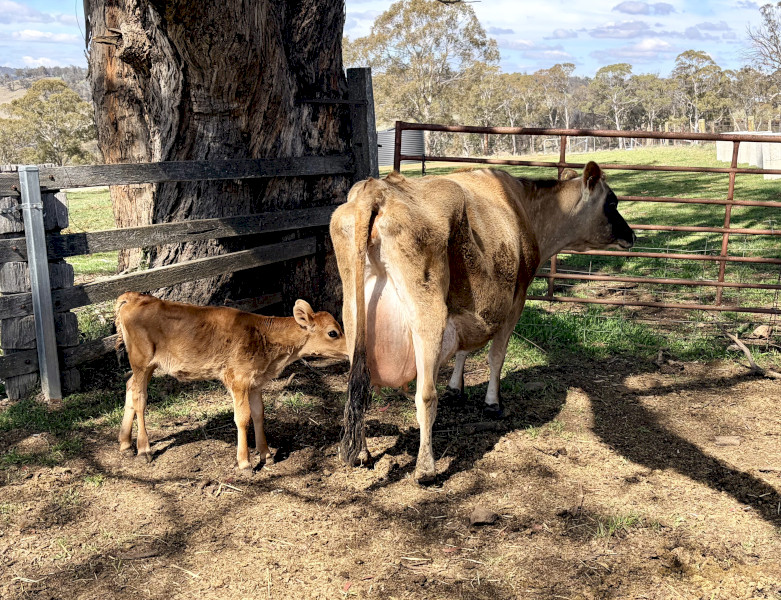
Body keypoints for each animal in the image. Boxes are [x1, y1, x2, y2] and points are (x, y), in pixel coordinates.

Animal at [114, 292, 348, 472]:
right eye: (333, 333)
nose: (349, 350)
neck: (264, 337)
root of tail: (135, 297)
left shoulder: (255, 383)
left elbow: (259, 414)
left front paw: (266, 454)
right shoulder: (238, 380)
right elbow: (242, 418)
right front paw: (245, 463)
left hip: (149, 366)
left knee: (129, 387)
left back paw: (125, 443)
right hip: (141, 361)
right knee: (140, 398)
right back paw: (144, 449)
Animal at [330, 162, 635, 483]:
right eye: (612, 202)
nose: (632, 235)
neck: (525, 209)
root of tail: (378, 189)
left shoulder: (469, 306)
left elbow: (464, 349)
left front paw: (456, 387)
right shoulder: (516, 300)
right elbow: (496, 356)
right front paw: (492, 403)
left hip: (353, 313)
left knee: (357, 387)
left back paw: (361, 452)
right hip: (427, 312)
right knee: (425, 395)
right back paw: (426, 468)